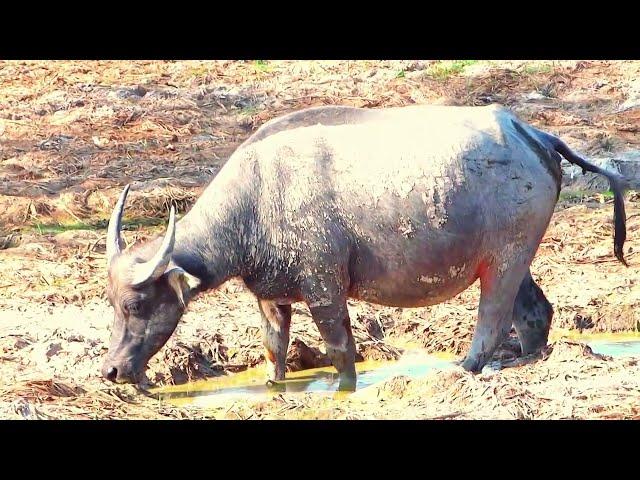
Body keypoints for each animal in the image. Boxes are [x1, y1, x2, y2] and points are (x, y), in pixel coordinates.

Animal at [102, 105, 628, 390]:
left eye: (136, 303)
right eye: (111, 303)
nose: (110, 370)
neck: (257, 198)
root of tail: (532, 134)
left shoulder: (324, 292)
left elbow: (341, 353)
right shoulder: (271, 299)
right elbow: (275, 351)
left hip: (504, 260)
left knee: (493, 322)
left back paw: (463, 367)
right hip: (516, 261)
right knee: (535, 311)